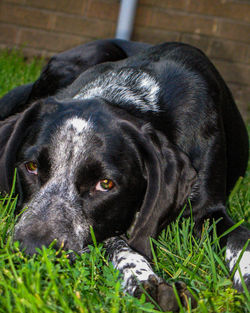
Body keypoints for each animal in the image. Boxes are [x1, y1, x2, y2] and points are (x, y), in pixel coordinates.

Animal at [0, 39, 249, 310]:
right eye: (31, 167)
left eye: (105, 184)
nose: (31, 251)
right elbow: (120, 246)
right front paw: (145, 281)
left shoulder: (209, 212)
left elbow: (240, 240)